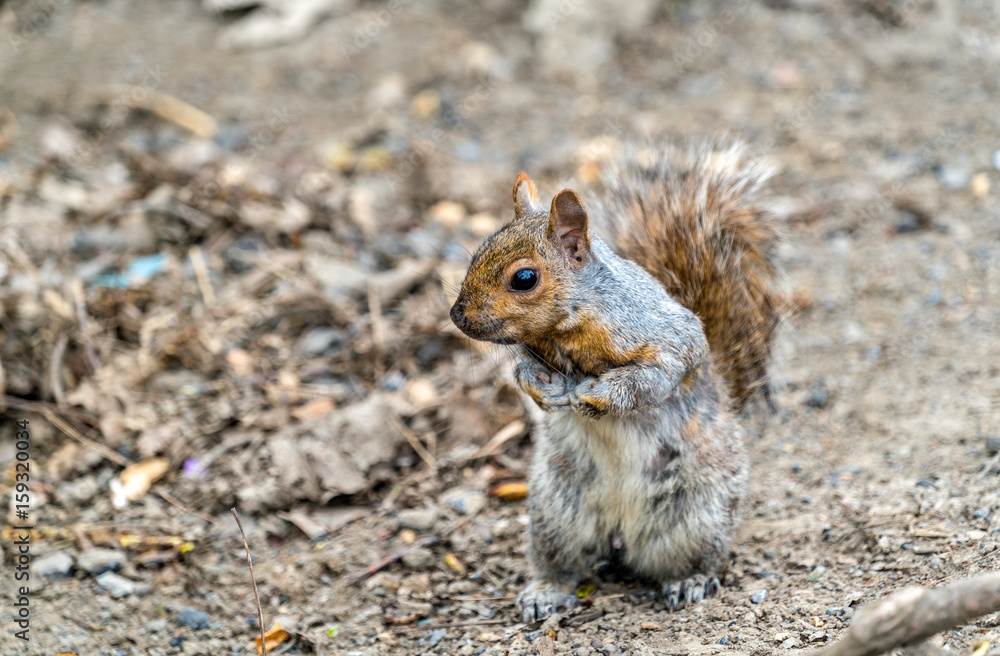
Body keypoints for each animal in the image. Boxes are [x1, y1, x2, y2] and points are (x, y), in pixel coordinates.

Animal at [450, 138, 784, 620]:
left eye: (524, 278)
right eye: (478, 251)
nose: (457, 315)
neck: (567, 331)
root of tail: (620, 525)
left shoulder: (667, 337)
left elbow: (654, 376)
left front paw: (598, 393)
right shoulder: (533, 352)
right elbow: (523, 371)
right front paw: (547, 390)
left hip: (696, 512)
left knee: (693, 555)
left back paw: (689, 580)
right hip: (557, 514)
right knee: (564, 562)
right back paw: (545, 590)